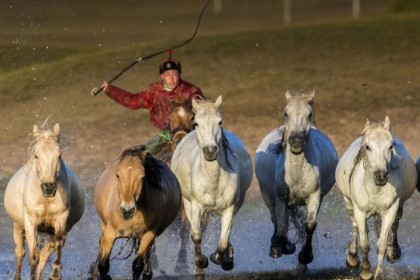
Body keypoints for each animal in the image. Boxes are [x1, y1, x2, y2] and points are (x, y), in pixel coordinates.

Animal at [3, 122, 84, 280]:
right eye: (36, 155)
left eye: (59, 155)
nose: (49, 187)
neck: (45, 199)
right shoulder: (30, 222)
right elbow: (33, 256)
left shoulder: (60, 220)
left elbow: (52, 248)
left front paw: (55, 273)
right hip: (18, 226)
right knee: (20, 253)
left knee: (45, 255)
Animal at [93, 145, 180, 278]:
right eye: (117, 175)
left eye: (142, 177)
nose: (127, 211)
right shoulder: (109, 233)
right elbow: (103, 265)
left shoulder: (148, 235)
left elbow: (137, 265)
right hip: (103, 225)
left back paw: (148, 272)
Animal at [171, 94, 253, 278]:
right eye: (196, 123)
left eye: (220, 121)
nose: (210, 151)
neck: (213, 181)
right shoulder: (195, 206)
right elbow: (196, 235)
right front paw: (201, 263)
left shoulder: (230, 207)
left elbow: (222, 241)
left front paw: (219, 258)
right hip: (187, 204)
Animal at [254, 91, 336, 264]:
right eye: (286, 113)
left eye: (309, 114)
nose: (296, 141)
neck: (296, 175)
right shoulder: (280, 197)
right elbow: (281, 223)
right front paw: (279, 248)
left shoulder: (314, 197)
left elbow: (310, 225)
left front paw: (305, 255)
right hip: (267, 195)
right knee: (275, 219)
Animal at [334, 116, 416, 280]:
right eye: (368, 147)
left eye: (391, 146)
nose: (381, 175)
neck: (375, 189)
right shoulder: (359, 211)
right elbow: (364, 244)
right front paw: (366, 272)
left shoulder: (391, 210)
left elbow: (381, 245)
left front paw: (378, 273)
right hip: (349, 203)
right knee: (355, 227)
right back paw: (352, 257)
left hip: (399, 207)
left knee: (395, 225)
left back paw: (393, 252)